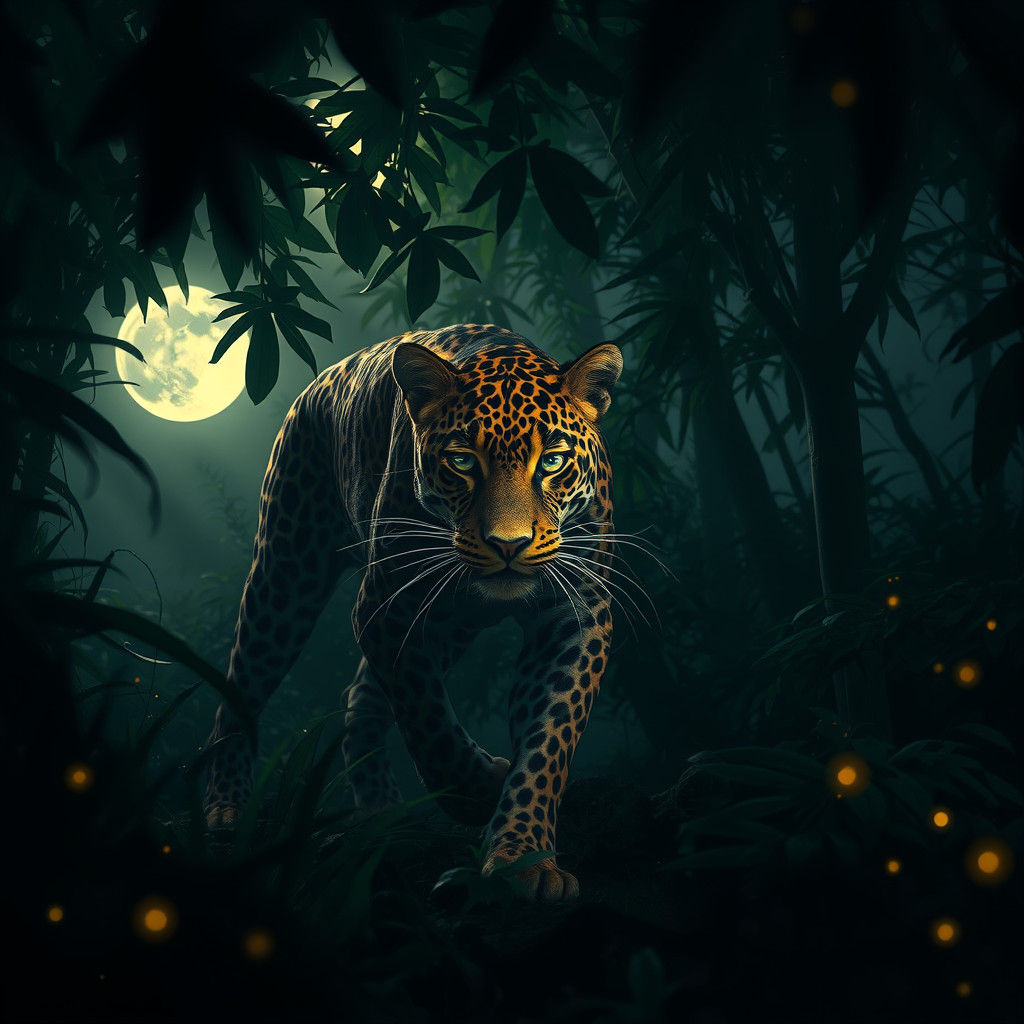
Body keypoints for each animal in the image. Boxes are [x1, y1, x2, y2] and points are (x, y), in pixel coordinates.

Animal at [203, 323, 622, 901]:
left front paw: (524, 857)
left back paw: (381, 812)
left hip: (450, 625)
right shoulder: (385, 610)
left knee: (358, 694)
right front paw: (478, 790)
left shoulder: (575, 614)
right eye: (462, 462)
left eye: (553, 462)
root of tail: (322, 379)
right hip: (287, 571)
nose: (508, 545)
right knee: (243, 680)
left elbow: (548, 740)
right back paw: (226, 809)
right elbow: (428, 722)